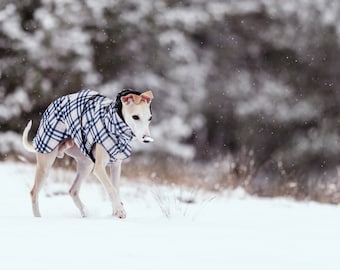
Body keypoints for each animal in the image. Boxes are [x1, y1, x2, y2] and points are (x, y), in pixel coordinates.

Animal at [21, 89, 153, 218]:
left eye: (149, 118)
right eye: (135, 117)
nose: (147, 139)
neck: (114, 122)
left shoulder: (116, 165)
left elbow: (116, 188)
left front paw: (116, 210)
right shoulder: (99, 168)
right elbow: (111, 188)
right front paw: (120, 211)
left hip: (86, 164)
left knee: (73, 190)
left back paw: (85, 211)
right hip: (46, 162)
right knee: (34, 193)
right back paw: (38, 218)